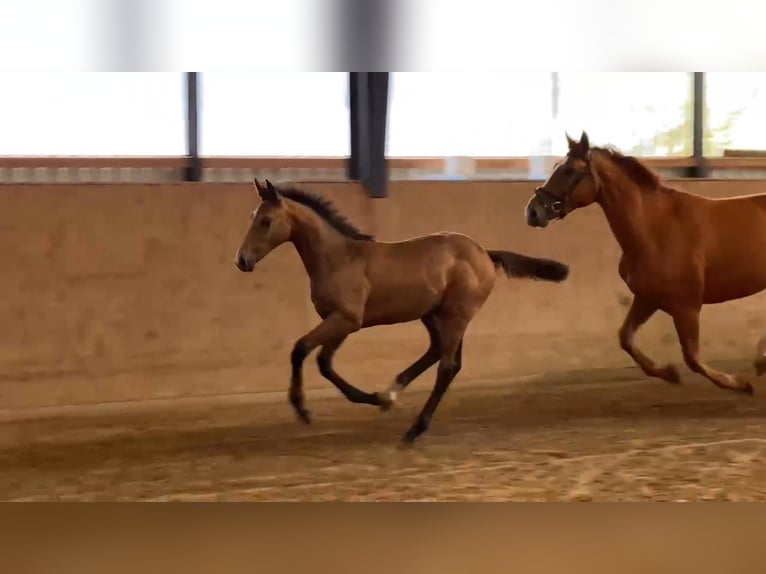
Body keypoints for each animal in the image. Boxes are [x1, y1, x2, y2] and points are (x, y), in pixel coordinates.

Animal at [524, 133, 766, 398]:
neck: (655, 228)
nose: (532, 212)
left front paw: (739, 383)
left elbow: (693, 358)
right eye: (557, 167)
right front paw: (668, 372)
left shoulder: (687, 307)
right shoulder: (647, 298)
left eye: (570, 170)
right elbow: (625, 338)